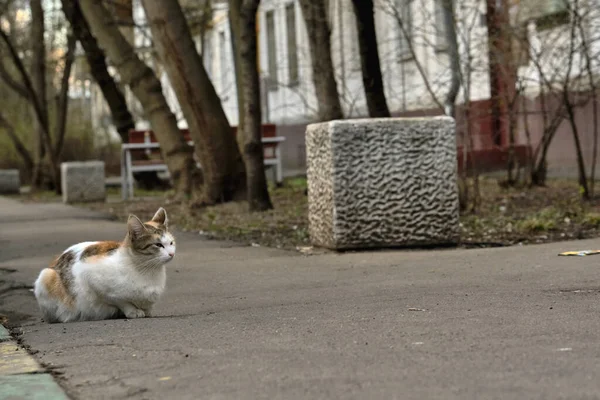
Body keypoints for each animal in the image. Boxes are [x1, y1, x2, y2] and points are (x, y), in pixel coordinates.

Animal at [33, 208, 175, 324]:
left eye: (171, 243)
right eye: (158, 245)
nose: (172, 253)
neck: (148, 270)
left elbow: (147, 305)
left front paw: (146, 310)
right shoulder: (90, 278)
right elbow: (121, 301)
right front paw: (133, 311)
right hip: (46, 276)